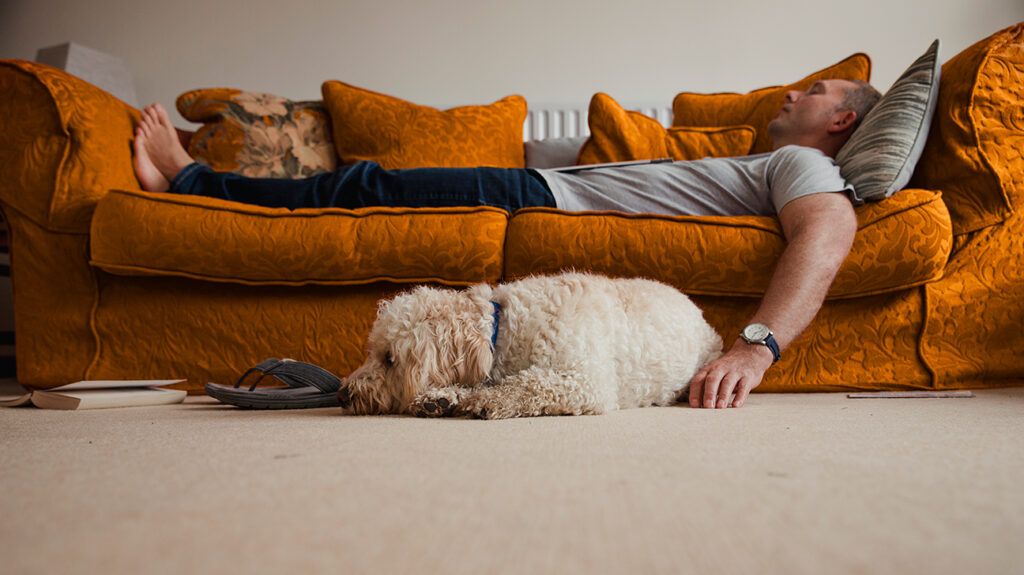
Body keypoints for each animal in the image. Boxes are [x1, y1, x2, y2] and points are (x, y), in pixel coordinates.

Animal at [339, 270, 724, 419]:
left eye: (389, 359)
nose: (343, 394)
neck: (503, 329)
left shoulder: (586, 381)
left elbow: (530, 383)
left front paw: (489, 400)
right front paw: (441, 398)